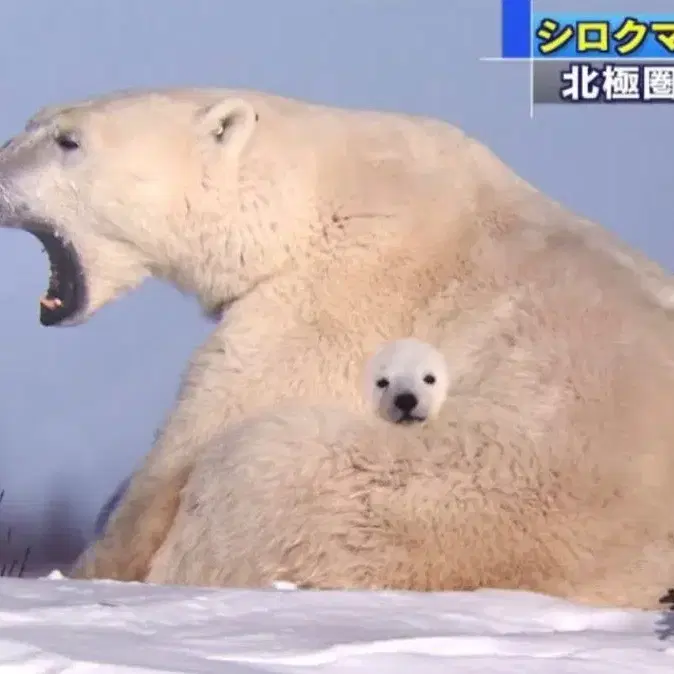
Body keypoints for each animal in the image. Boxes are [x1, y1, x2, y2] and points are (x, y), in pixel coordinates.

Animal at [0, 86, 668, 608]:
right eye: (34, 121)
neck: (316, 197)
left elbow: (194, 442)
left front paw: (88, 570)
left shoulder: (335, 299)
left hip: (442, 504)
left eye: (68, 140)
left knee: (259, 465)